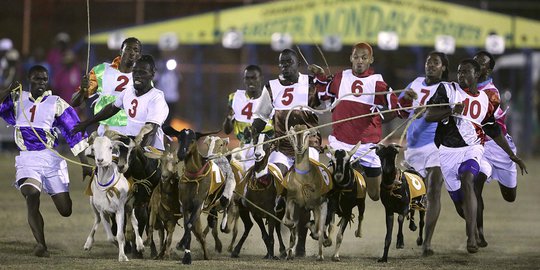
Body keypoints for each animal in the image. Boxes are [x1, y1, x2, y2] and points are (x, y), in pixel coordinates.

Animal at [81, 133, 142, 262]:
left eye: (110, 147)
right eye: (94, 148)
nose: (100, 160)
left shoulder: (120, 210)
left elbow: (120, 235)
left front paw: (123, 256)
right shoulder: (103, 211)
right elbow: (110, 237)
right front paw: (120, 246)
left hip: (129, 205)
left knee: (134, 221)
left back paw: (140, 245)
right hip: (92, 203)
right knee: (97, 220)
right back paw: (88, 244)